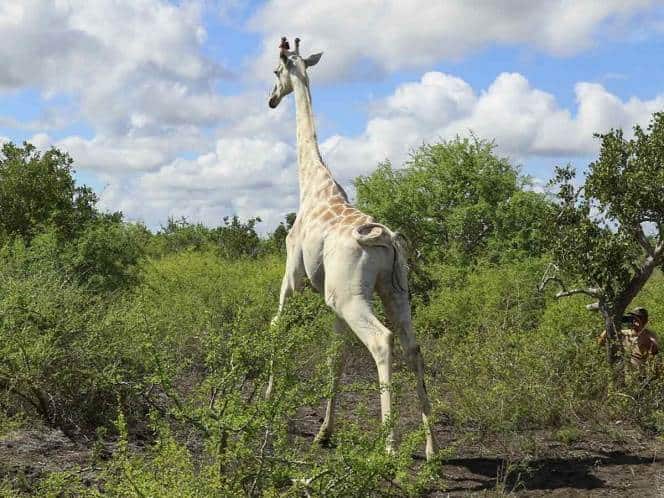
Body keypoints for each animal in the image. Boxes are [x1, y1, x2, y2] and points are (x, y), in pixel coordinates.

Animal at [268, 37, 438, 462]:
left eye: (276, 72)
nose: (271, 99)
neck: (311, 183)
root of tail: (385, 238)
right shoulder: (329, 300)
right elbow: (335, 357)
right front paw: (323, 433)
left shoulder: (293, 279)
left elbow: (277, 326)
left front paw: (267, 402)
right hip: (393, 291)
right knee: (413, 346)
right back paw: (431, 449)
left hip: (351, 296)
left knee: (382, 341)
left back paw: (390, 447)